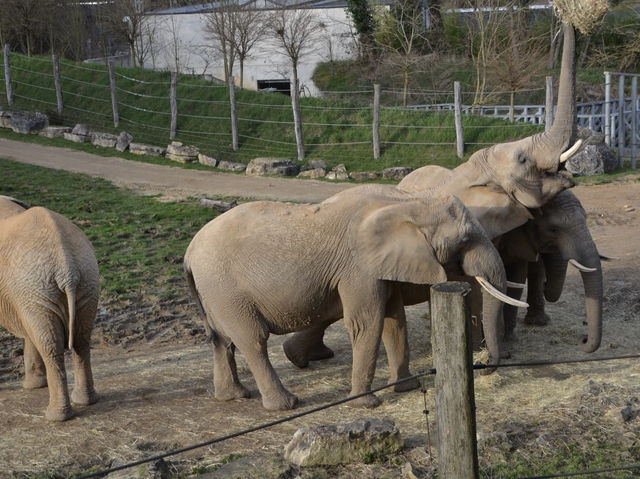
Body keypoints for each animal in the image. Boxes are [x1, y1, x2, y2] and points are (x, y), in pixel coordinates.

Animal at [0, 197, 100, 422]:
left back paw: (55, 416)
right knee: (81, 340)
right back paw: (84, 401)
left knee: (51, 347)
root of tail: (67, 268)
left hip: (36, 287)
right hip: (85, 281)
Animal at [184, 193, 524, 410]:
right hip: (226, 288)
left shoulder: (381, 266)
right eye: (464, 240)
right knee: (252, 340)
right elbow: (367, 322)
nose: (485, 366)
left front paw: (407, 387)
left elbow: (393, 321)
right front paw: (367, 404)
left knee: (221, 340)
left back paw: (234, 396)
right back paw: (286, 405)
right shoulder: (358, 268)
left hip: (213, 291)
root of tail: (188, 253)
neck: (407, 205)